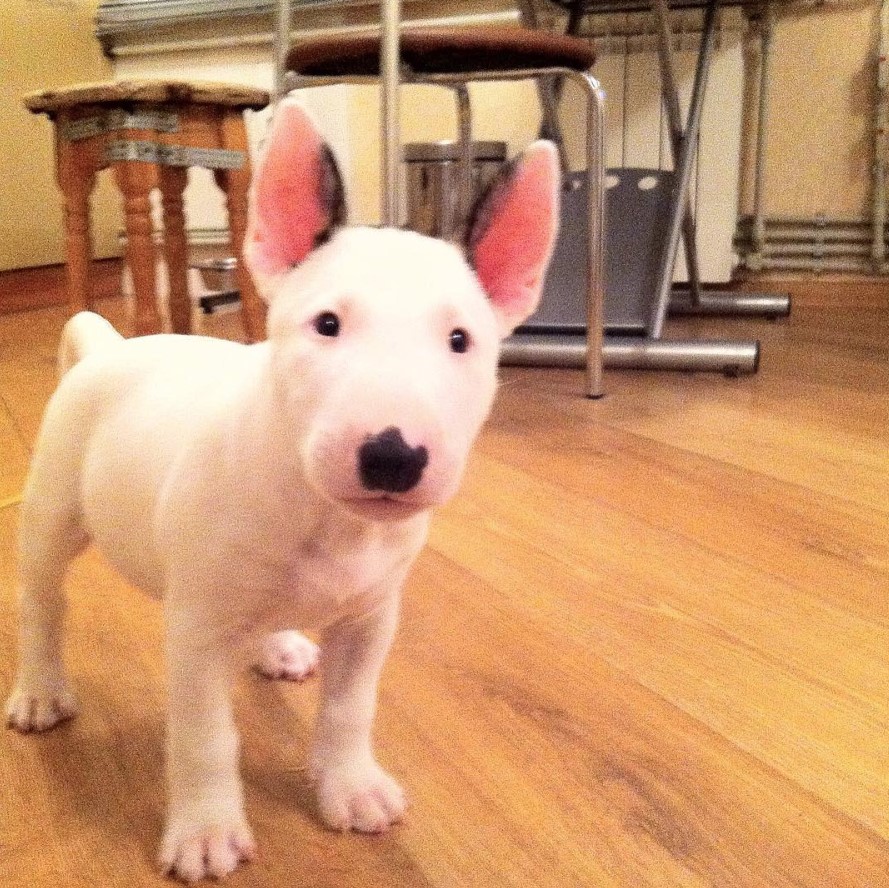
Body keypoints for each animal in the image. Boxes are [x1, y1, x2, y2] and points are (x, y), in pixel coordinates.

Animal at [6, 99, 560, 880]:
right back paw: (41, 689)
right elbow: (205, 736)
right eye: (326, 325)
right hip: (54, 517)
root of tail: (110, 349)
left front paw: (350, 787)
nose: (392, 457)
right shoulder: (196, 634)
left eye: (460, 341)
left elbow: (350, 710)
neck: (324, 516)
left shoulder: (370, 621)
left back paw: (278, 645)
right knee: (43, 605)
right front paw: (206, 830)